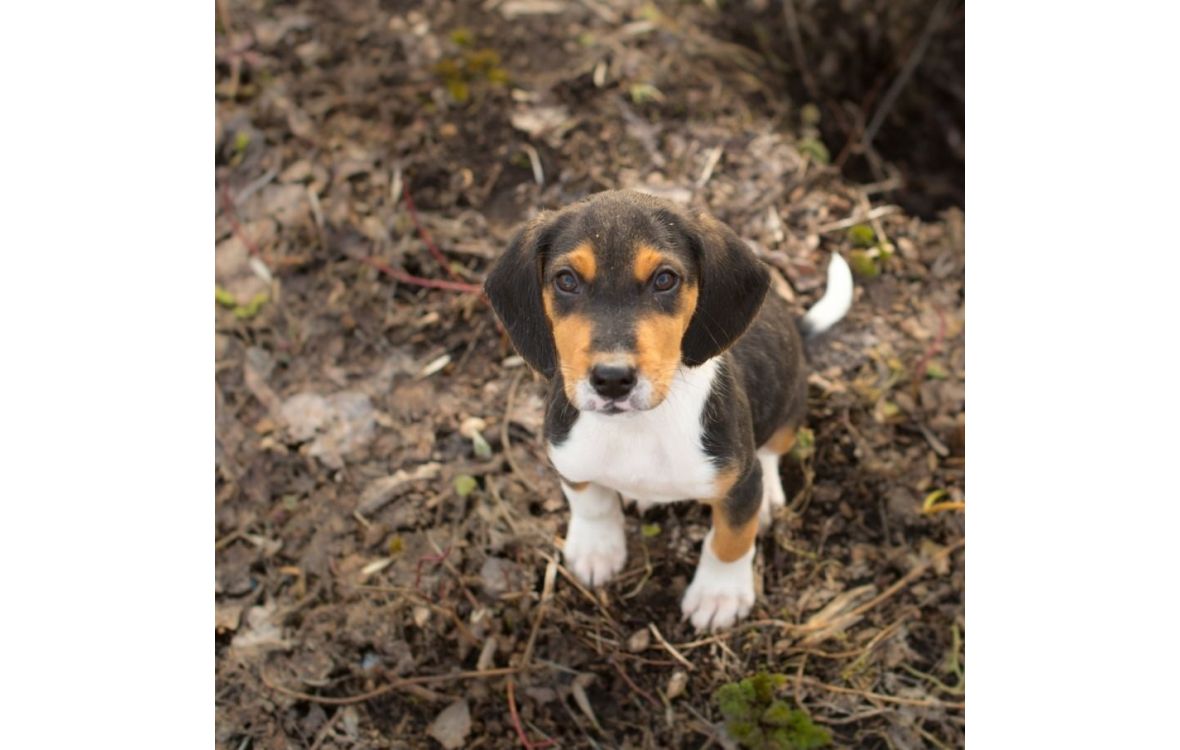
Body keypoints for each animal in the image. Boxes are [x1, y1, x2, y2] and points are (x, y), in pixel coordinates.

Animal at [483, 189, 854, 632]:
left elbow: (730, 540)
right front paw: (596, 550)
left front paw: (719, 595)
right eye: (566, 280)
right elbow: (591, 503)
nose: (612, 379)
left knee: (771, 452)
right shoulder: (568, 457)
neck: (639, 426)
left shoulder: (740, 481)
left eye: (665, 279)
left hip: (789, 405)